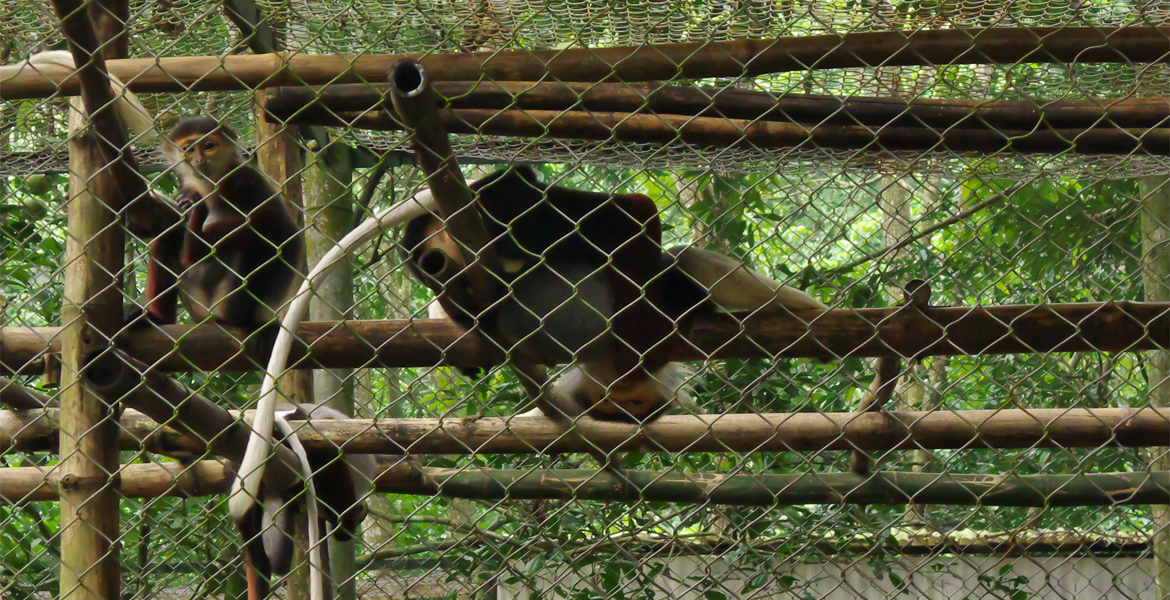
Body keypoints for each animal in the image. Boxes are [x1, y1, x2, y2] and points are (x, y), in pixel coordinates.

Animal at [129, 115, 306, 355]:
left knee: (269, 223)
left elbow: (288, 236)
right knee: (167, 238)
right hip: (196, 304)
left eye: (208, 146)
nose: (198, 160)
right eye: (188, 149)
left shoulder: (246, 179)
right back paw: (158, 319)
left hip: (225, 300)